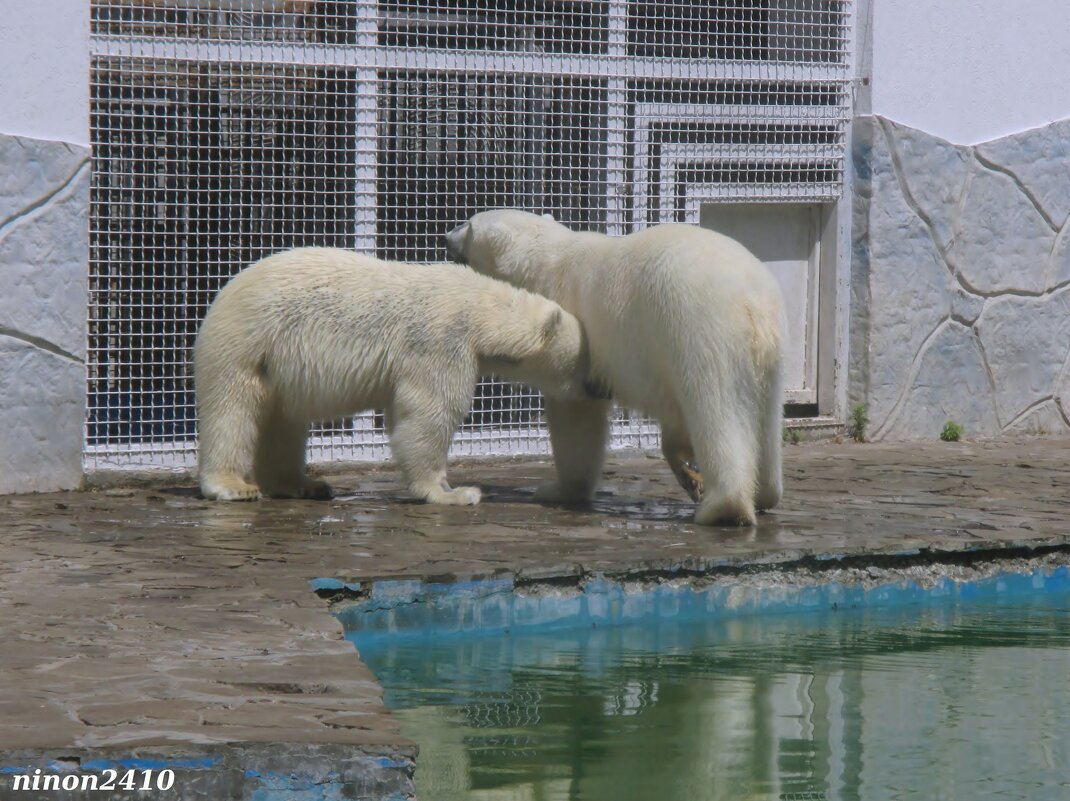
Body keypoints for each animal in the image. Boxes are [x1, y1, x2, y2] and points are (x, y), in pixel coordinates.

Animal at [195, 247, 590, 502]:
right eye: (583, 362)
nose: (594, 388)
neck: (478, 308)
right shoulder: (439, 342)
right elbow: (428, 413)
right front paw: (453, 492)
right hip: (248, 343)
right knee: (233, 412)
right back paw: (234, 486)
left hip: (277, 367)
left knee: (283, 422)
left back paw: (303, 484)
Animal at [442, 209, 787, 528]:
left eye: (468, 224)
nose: (445, 236)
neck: (546, 261)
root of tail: (751, 301)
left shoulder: (574, 323)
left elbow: (575, 413)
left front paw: (556, 490)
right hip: (770, 355)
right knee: (766, 419)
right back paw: (764, 495)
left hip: (696, 328)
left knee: (715, 408)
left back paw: (722, 507)